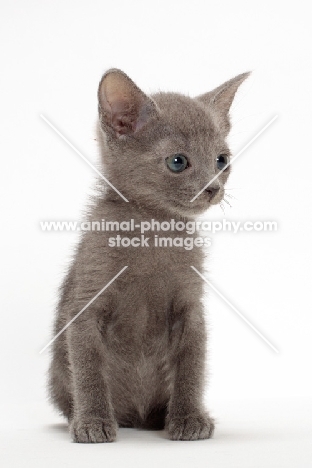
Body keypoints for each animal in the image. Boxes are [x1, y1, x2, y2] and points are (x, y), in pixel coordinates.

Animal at [48, 67, 249, 440]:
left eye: (222, 160)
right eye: (177, 161)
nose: (213, 188)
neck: (154, 231)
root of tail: (136, 418)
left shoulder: (191, 307)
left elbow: (192, 365)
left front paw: (189, 418)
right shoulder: (85, 301)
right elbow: (87, 367)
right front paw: (93, 421)